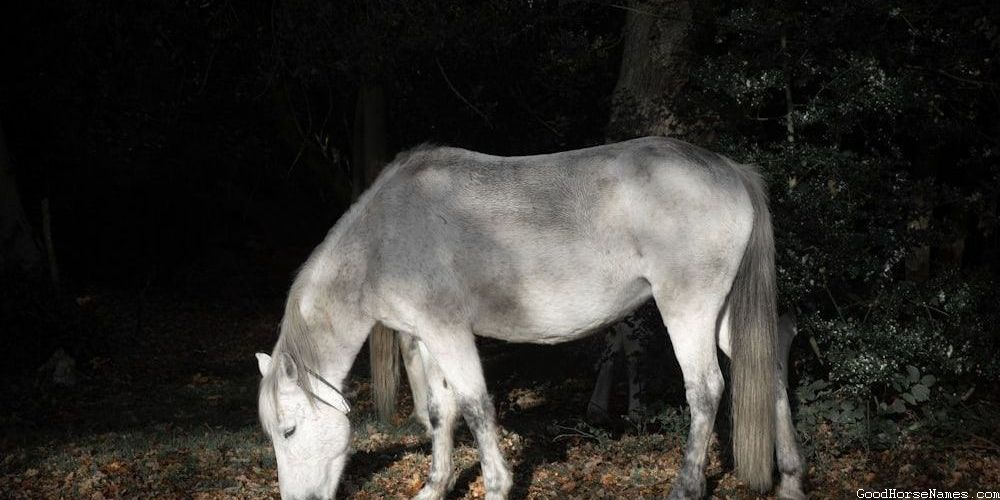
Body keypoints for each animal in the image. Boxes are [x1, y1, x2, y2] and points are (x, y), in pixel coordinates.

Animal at [254, 136, 806, 500]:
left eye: (289, 431)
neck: (383, 240)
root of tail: (732, 170)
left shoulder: (449, 333)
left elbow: (476, 407)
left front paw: (496, 486)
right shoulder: (427, 338)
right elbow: (440, 410)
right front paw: (435, 486)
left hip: (688, 309)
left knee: (706, 390)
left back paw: (686, 487)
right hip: (724, 316)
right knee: (769, 369)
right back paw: (791, 479)